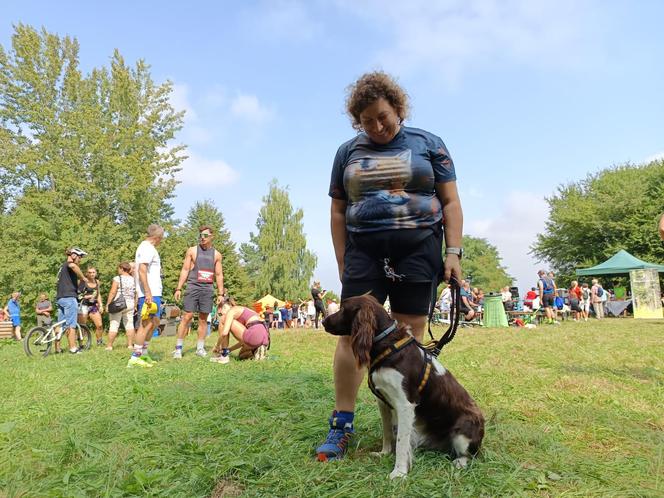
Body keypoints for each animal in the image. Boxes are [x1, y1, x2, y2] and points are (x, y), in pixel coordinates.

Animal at [322, 296, 482, 478]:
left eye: (343, 309)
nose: (323, 321)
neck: (387, 345)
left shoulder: (405, 405)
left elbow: (401, 442)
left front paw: (399, 472)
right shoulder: (383, 402)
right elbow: (388, 432)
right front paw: (384, 453)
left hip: (464, 430)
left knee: (471, 455)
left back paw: (460, 462)